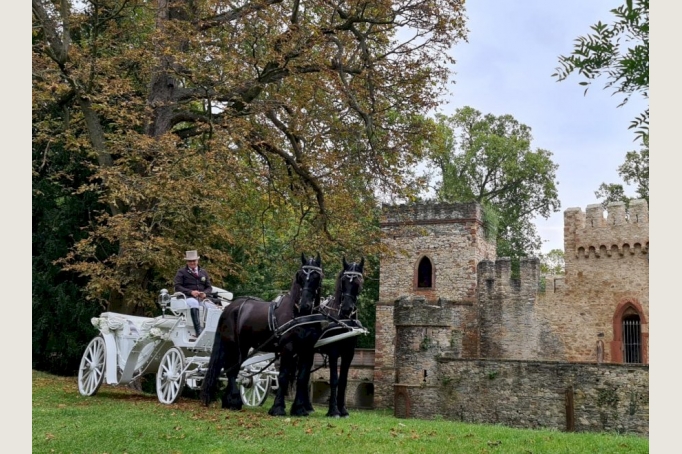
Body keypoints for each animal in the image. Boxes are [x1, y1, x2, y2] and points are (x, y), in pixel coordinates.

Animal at [199, 254, 324, 416]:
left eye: (316, 276)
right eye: (300, 277)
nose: (304, 305)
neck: (299, 315)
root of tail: (230, 307)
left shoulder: (308, 349)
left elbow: (302, 378)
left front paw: (300, 409)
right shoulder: (287, 348)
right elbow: (283, 377)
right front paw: (278, 408)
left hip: (243, 346)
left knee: (233, 368)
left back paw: (229, 401)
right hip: (235, 345)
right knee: (232, 370)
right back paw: (234, 401)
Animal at [316, 258, 364, 416]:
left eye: (358, 282)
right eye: (343, 281)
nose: (347, 309)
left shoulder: (349, 353)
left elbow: (343, 380)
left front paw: (343, 409)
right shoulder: (333, 352)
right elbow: (334, 379)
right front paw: (333, 410)